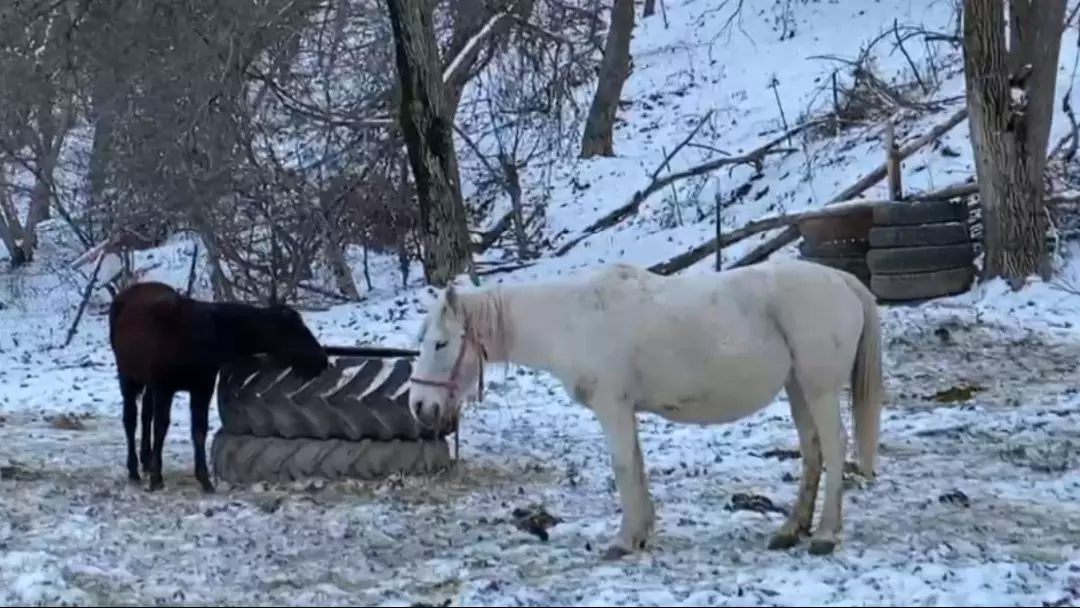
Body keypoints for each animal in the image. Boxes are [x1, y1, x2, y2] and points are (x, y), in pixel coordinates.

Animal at [110, 282, 330, 492]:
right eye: (295, 330)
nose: (321, 359)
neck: (201, 334)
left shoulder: (202, 386)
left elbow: (199, 429)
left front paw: (204, 480)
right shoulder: (164, 388)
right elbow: (161, 428)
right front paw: (157, 479)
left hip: (147, 385)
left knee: (145, 416)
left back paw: (145, 463)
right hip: (127, 377)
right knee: (131, 419)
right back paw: (134, 471)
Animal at [408, 259, 881, 557]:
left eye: (441, 344)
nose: (419, 405)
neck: (573, 320)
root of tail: (842, 280)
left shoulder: (612, 408)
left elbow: (622, 467)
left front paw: (622, 541)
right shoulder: (626, 410)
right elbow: (635, 465)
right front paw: (640, 534)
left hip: (819, 389)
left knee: (835, 449)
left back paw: (824, 535)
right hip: (797, 388)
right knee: (813, 452)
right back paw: (790, 531)